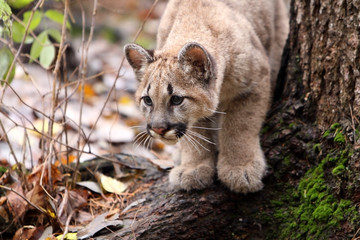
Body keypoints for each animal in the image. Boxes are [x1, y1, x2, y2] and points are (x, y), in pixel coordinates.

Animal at [125, 0, 288, 193]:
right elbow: (195, 133)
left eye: (176, 99)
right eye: (148, 100)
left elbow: (240, 126)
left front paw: (240, 168)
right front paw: (193, 167)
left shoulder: (254, 82)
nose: (158, 129)